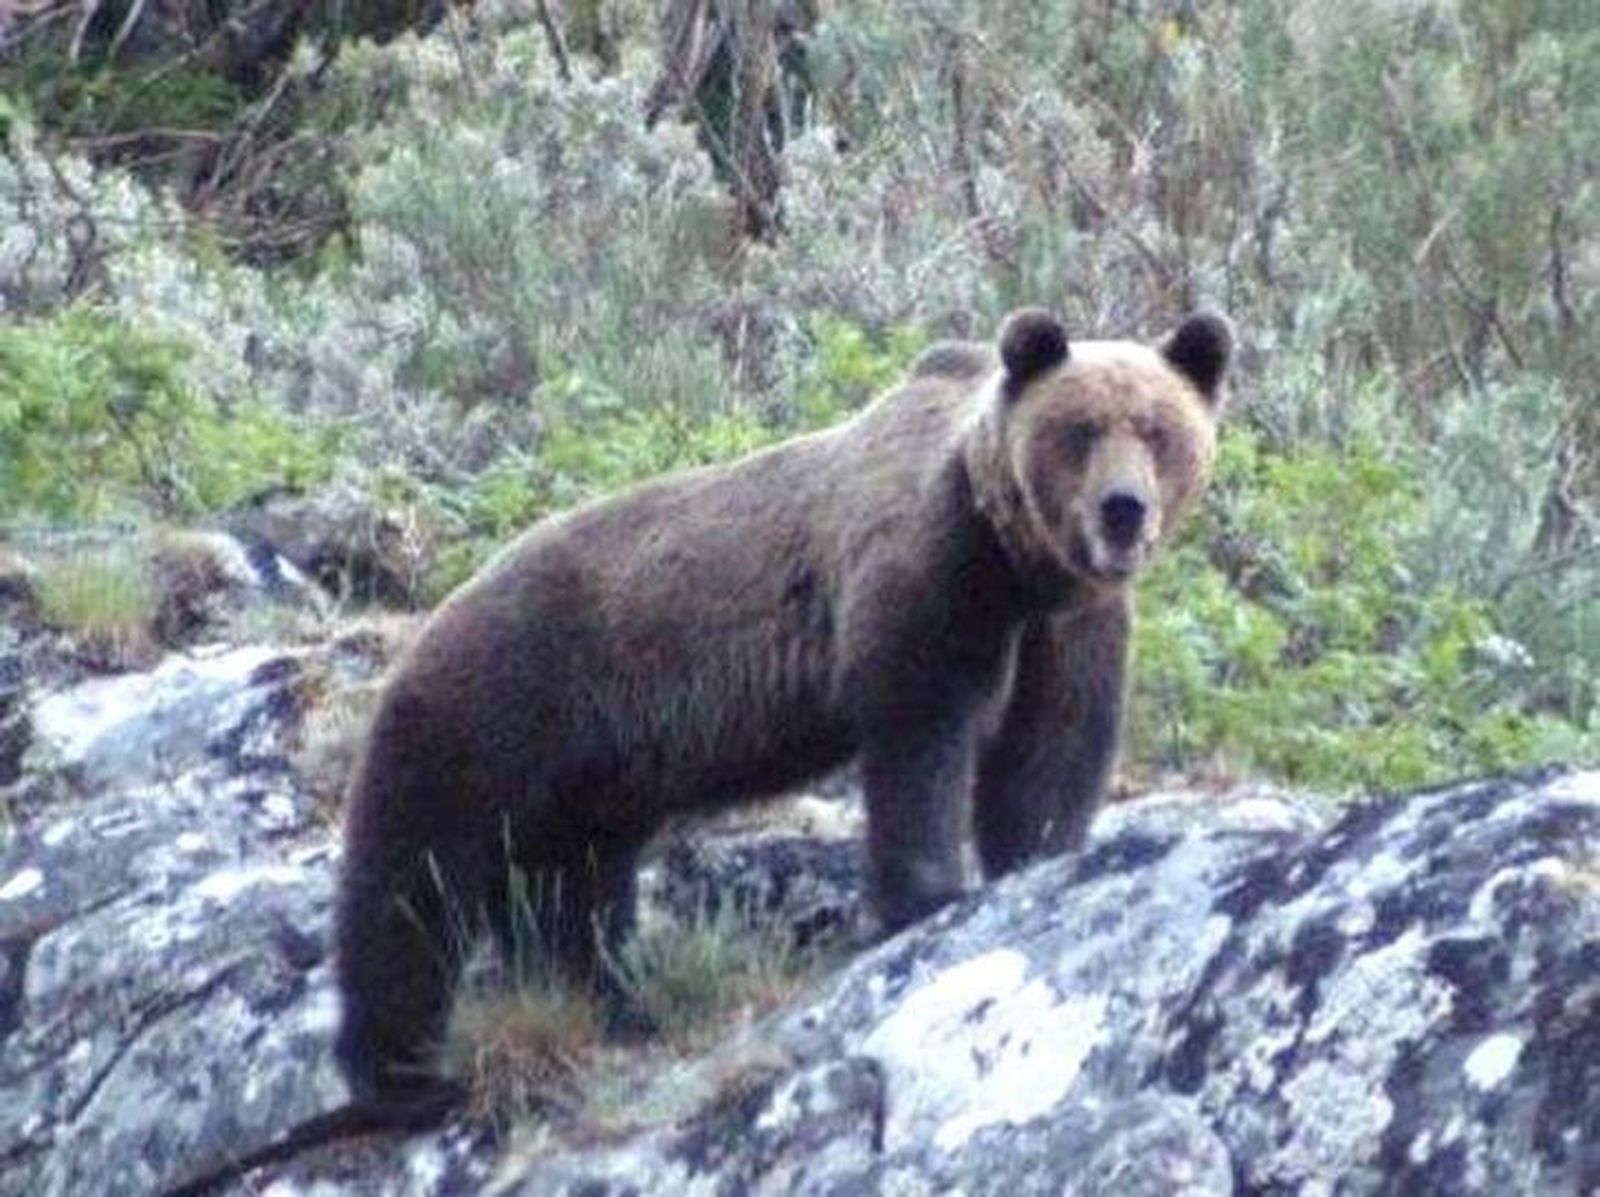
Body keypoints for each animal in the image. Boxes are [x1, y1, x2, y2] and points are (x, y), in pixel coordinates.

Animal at [334, 307, 1233, 1102]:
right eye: (1081, 430)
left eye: (1158, 430)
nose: (1124, 510)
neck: (1014, 560)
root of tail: (436, 614)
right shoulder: (926, 582)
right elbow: (922, 733)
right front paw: (931, 891)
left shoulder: (1068, 625)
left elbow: (1053, 747)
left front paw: (1038, 854)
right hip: (498, 708)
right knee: (413, 880)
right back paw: (402, 1074)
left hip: (589, 775)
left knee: (570, 895)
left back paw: (614, 1002)